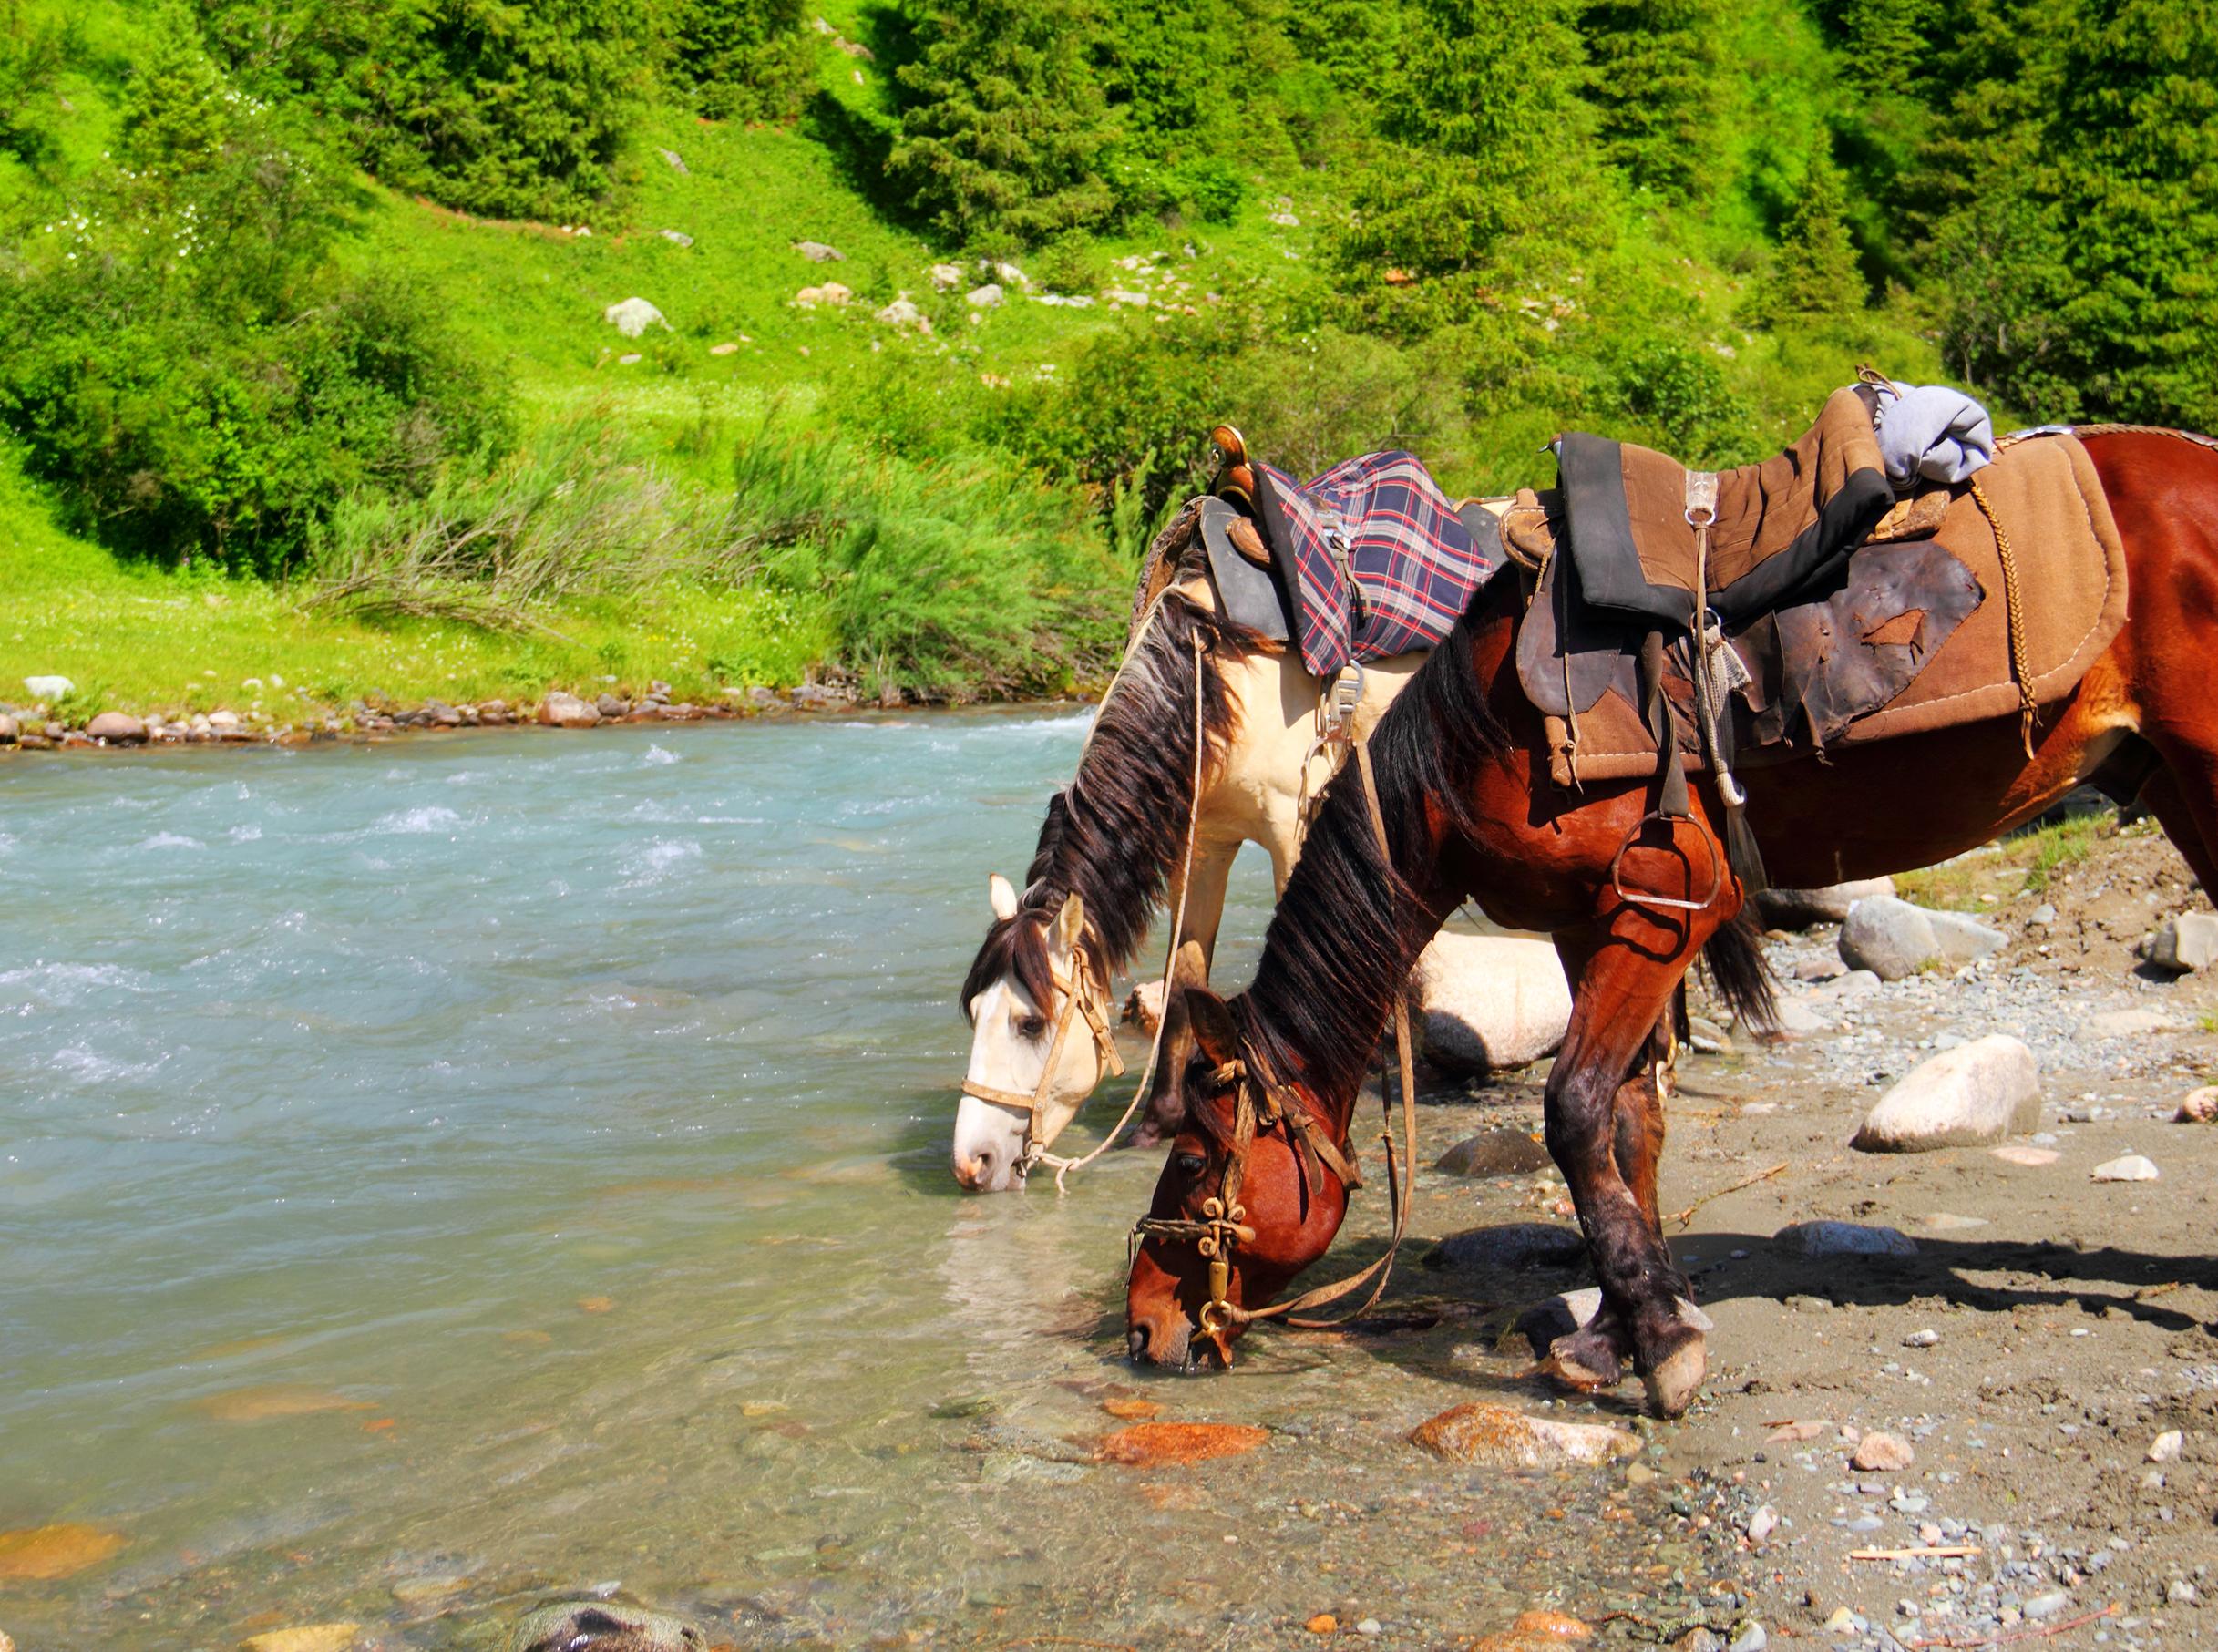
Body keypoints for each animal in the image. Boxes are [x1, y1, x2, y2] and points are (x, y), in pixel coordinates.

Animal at [1126, 432, 2218, 1410]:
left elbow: (1572, 1110)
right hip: (2170, 785)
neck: (1477, 737)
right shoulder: (1589, 924)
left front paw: (1659, 1340)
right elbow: (1627, 1123)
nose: (1143, 1326)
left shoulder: (1670, 899)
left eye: (1194, 1160)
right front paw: (1620, 1329)